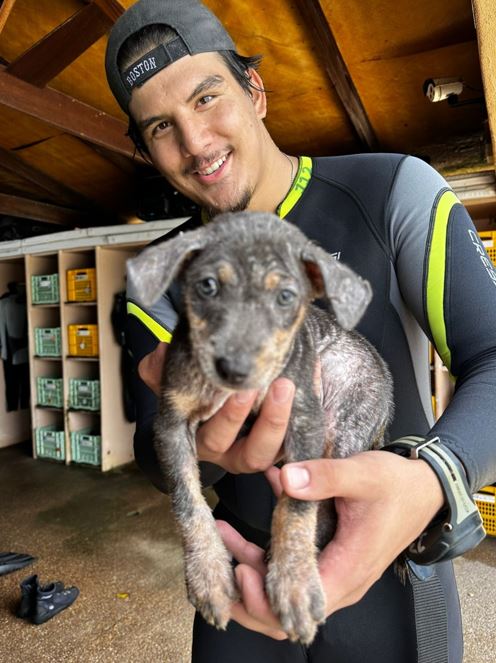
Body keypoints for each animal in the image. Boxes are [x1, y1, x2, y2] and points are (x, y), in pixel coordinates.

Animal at [127, 211, 393, 644]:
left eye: (285, 296)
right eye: (208, 286)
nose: (233, 369)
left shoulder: (304, 418)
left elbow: (298, 506)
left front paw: (294, 582)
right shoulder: (170, 422)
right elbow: (186, 501)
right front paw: (208, 576)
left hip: (344, 425)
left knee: (328, 508)